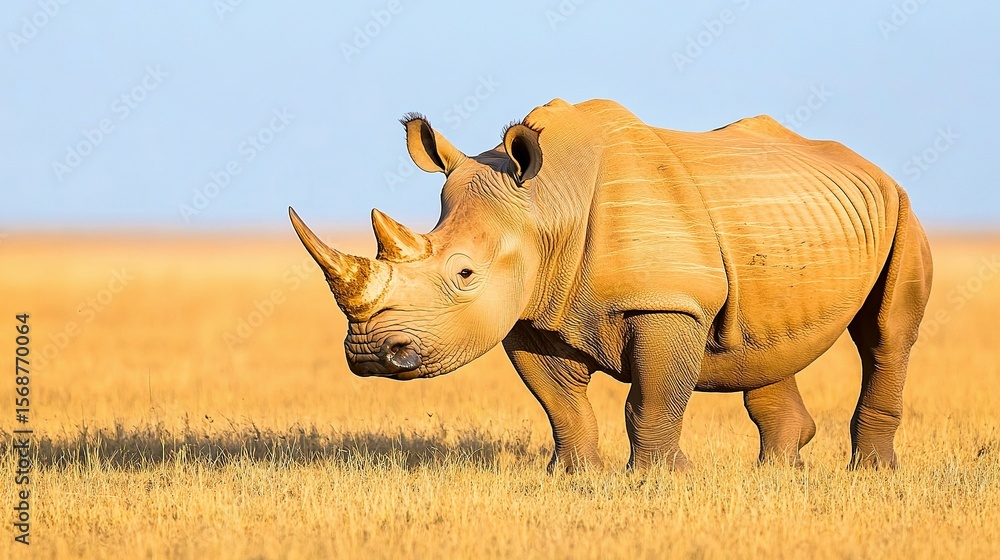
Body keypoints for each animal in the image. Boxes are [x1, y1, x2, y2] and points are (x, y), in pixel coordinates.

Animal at [289, 98, 933, 472]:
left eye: (464, 274)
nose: (370, 354)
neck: (546, 203)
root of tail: (871, 167)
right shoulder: (529, 309)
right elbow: (559, 403)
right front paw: (572, 478)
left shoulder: (668, 304)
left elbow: (652, 398)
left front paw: (658, 481)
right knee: (765, 339)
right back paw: (776, 476)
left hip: (902, 208)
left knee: (885, 337)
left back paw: (870, 474)